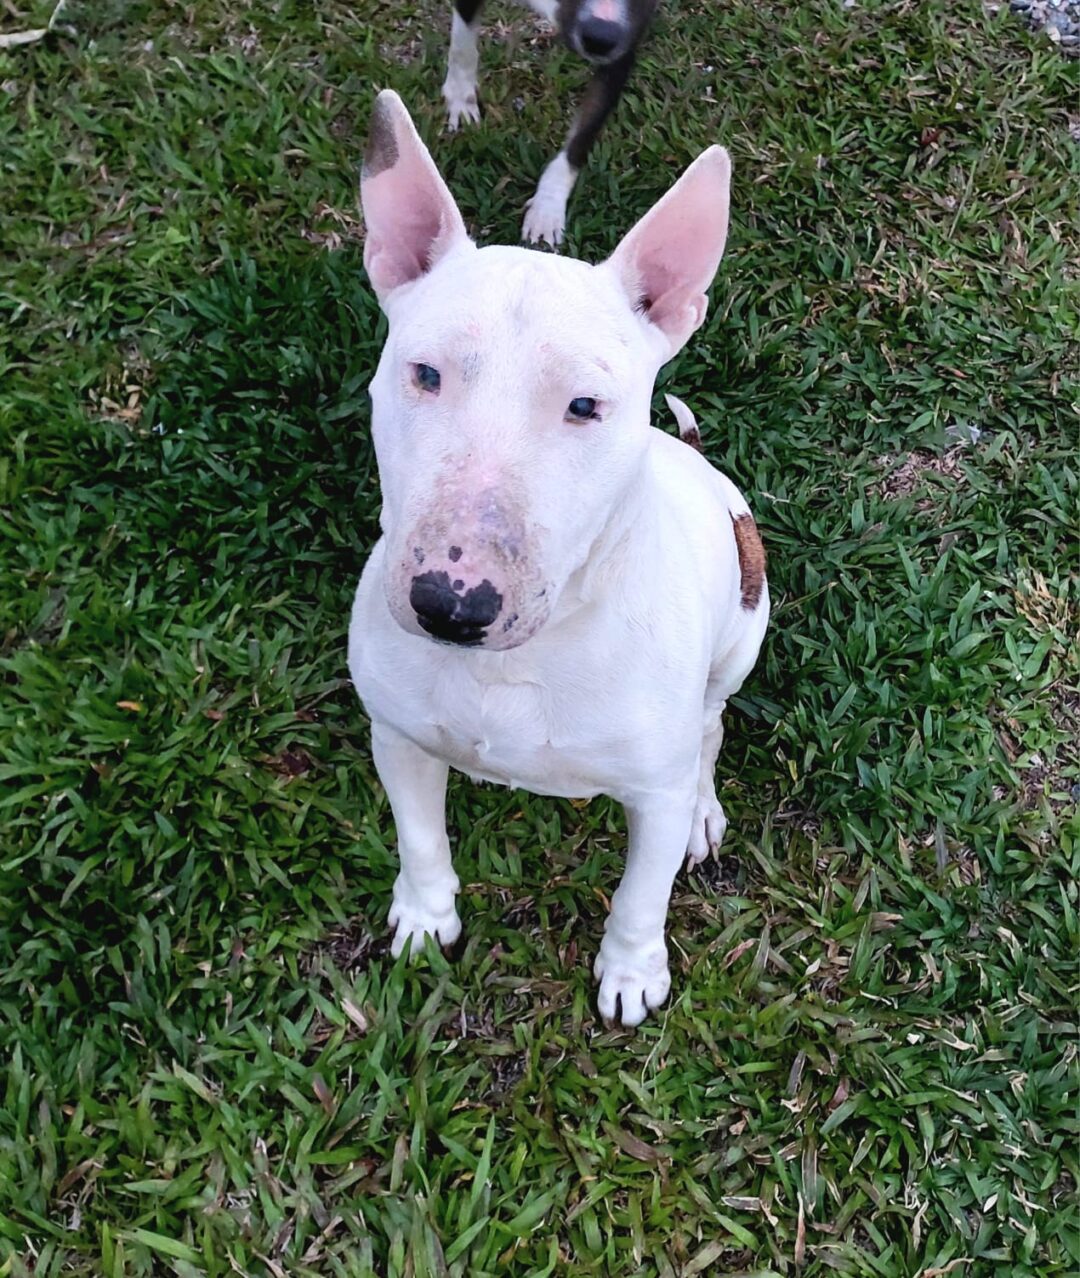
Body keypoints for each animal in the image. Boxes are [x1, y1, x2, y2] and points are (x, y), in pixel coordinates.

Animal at [347, 90, 766, 1027]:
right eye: (423, 373)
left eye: (585, 406)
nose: (450, 604)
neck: (520, 659)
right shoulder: (396, 736)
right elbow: (418, 838)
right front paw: (424, 920)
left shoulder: (651, 790)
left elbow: (641, 892)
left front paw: (632, 975)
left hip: (742, 637)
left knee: (711, 729)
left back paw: (704, 813)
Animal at [437, 0, 659, 244]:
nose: (600, 38)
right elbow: (462, 46)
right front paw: (460, 100)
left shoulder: (625, 43)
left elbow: (583, 136)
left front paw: (547, 209)